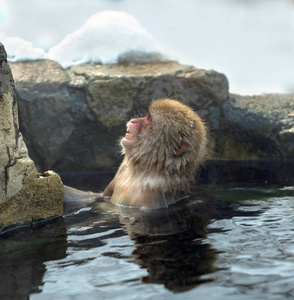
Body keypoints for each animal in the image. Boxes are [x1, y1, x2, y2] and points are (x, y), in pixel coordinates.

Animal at [64, 98, 208, 209]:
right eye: (146, 115)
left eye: (149, 119)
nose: (133, 120)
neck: (142, 170)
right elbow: (101, 196)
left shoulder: (150, 195)